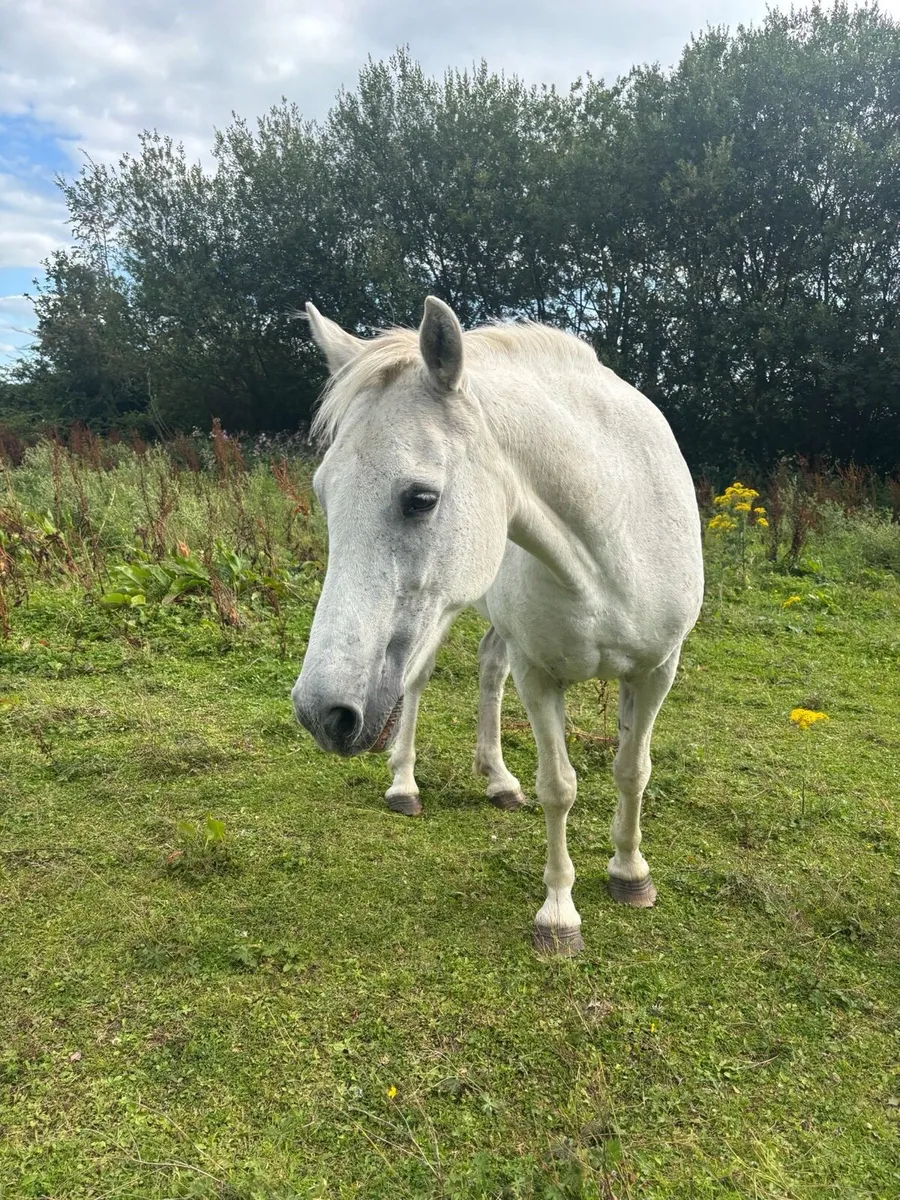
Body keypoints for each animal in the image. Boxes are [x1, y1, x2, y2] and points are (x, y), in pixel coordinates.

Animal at [291, 297, 704, 954]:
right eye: (325, 496)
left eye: (421, 498)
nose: (319, 713)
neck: (614, 537)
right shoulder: (540, 677)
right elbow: (559, 785)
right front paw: (558, 915)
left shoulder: (657, 669)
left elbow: (632, 770)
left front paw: (629, 872)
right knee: (417, 682)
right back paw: (404, 784)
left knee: (488, 671)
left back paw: (498, 780)